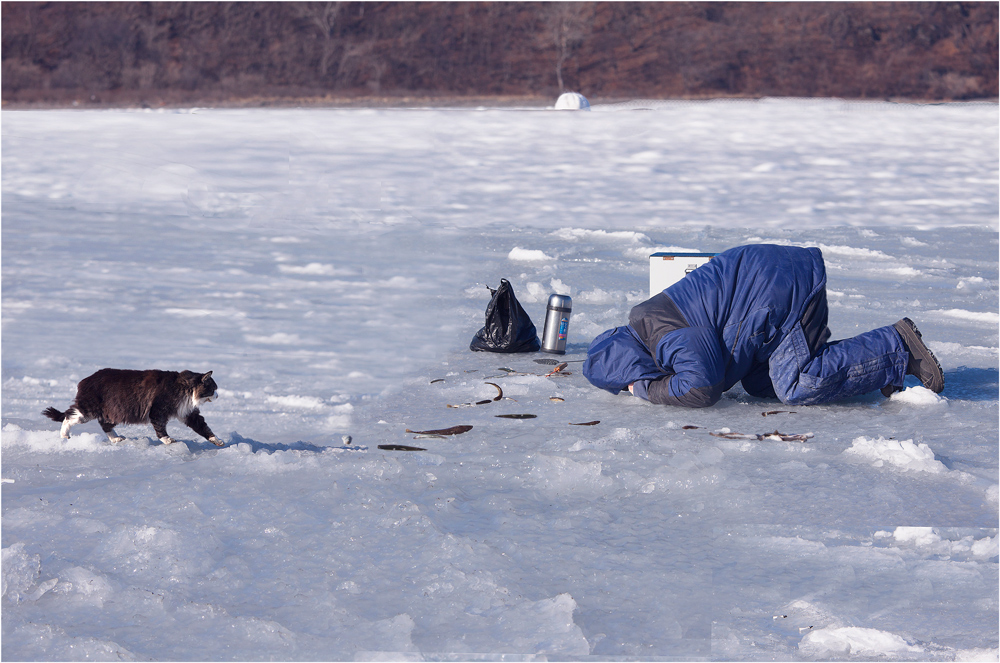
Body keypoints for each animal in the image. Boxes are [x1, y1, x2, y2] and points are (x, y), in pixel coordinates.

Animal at [43, 368, 223, 446]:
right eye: (213, 389)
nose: (218, 396)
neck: (185, 389)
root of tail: (85, 380)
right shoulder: (157, 410)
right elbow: (160, 428)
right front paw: (167, 439)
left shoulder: (189, 414)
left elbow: (204, 428)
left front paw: (216, 440)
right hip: (88, 410)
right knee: (68, 416)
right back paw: (64, 435)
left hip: (112, 412)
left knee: (105, 425)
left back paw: (116, 439)